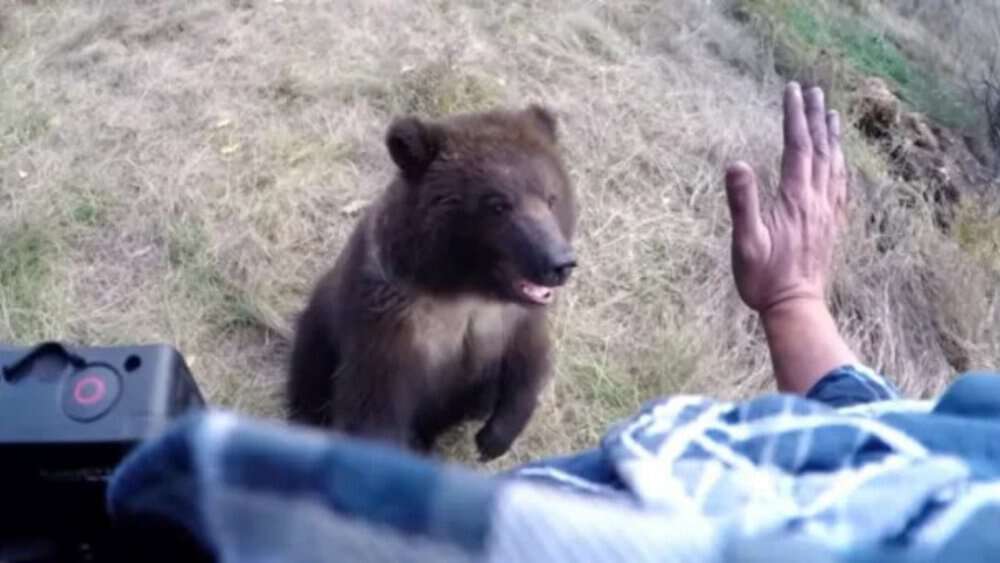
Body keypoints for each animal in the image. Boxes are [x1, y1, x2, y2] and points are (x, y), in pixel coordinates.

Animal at [287, 105, 577, 461]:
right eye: (498, 204)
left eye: (551, 198)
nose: (560, 263)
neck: (465, 289)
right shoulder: (392, 326)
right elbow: (374, 408)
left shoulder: (511, 322)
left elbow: (526, 367)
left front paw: (493, 439)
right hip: (319, 332)